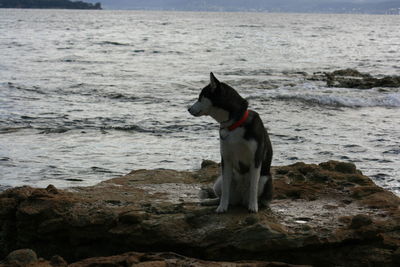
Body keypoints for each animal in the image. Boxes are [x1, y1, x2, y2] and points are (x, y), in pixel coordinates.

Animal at [189, 73, 274, 214]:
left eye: (200, 97)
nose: (188, 109)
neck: (234, 125)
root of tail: (239, 200)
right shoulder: (226, 159)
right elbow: (225, 190)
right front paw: (222, 207)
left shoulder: (256, 160)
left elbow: (253, 187)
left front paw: (253, 207)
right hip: (219, 181)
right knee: (224, 194)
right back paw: (211, 202)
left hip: (265, 179)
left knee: (259, 195)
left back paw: (255, 204)